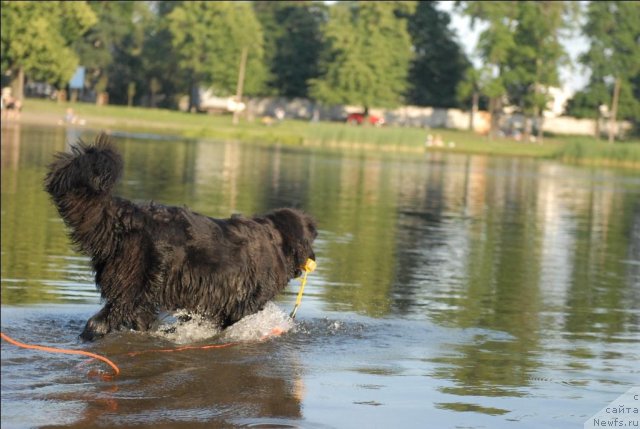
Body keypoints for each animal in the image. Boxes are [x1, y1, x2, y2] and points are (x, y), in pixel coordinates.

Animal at [43, 134, 316, 342]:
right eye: (312, 242)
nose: (314, 257)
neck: (277, 239)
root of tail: (130, 215)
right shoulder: (243, 302)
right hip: (134, 285)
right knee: (102, 319)